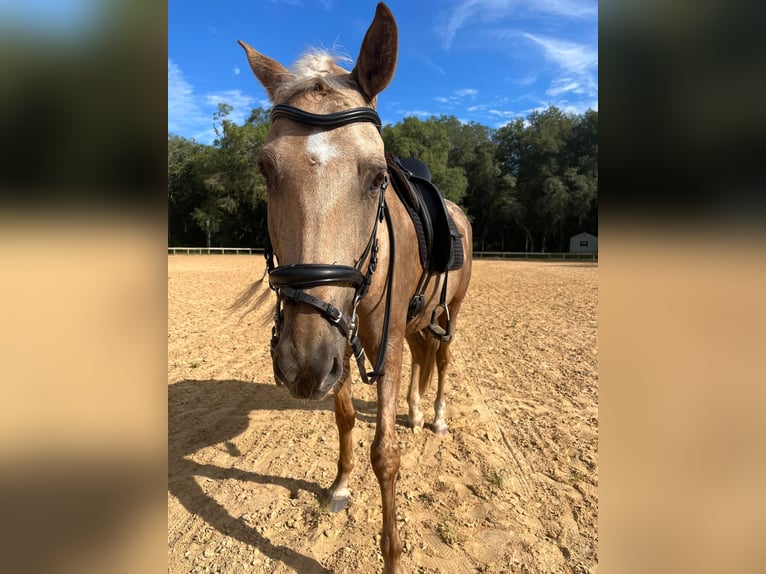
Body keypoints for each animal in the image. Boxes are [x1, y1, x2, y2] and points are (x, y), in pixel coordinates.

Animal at [238, 3, 474, 572]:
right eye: (266, 170)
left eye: (375, 176)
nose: (300, 367)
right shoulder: (337, 340)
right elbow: (345, 418)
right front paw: (340, 487)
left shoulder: (373, 342)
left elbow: (384, 454)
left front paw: (392, 555)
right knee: (422, 357)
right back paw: (416, 411)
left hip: (449, 313)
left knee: (442, 360)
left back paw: (436, 418)